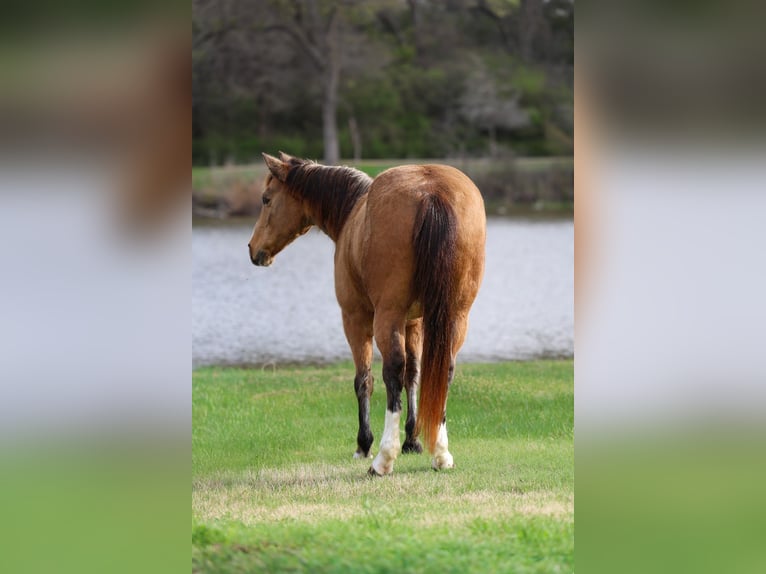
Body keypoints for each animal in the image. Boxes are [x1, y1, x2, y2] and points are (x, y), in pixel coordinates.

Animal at [248, 152, 486, 475]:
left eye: (266, 199)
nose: (253, 249)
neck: (351, 214)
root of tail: (431, 192)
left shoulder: (355, 318)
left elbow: (365, 380)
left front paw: (364, 443)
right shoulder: (415, 322)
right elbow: (415, 374)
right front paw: (413, 440)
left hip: (386, 316)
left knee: (392, 371)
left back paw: (383, 459)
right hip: (456, 316)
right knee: (443, 370)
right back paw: (440, 453)